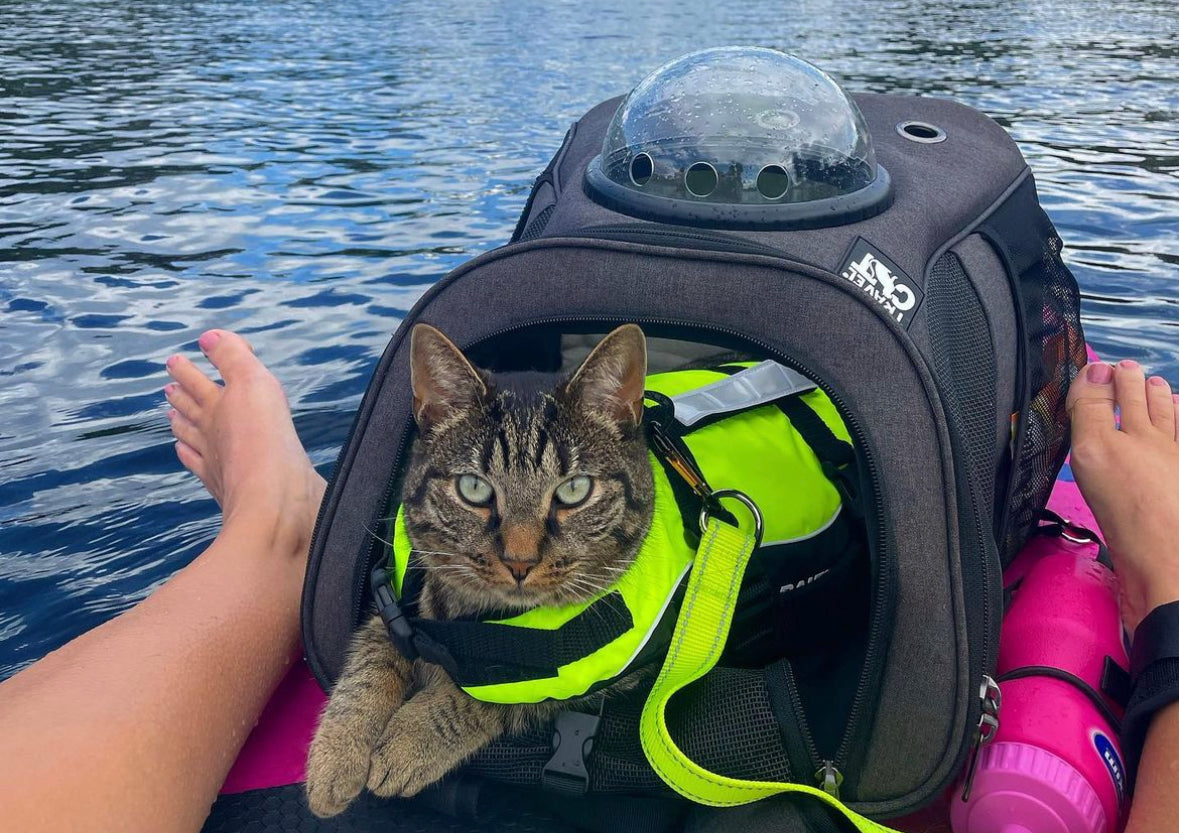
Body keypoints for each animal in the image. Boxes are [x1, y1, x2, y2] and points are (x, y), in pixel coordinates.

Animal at [304, 322, 655, 820]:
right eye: (474, 488)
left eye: (574, 490)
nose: (520, 562)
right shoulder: (395, 607)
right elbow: (367, 668)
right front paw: (335, 757)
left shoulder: (604, 675)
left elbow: (489, 696)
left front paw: (407, 742)